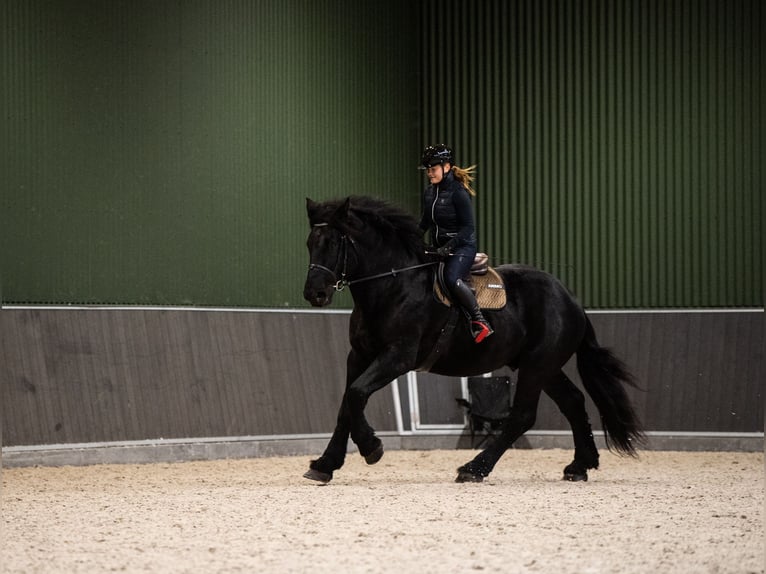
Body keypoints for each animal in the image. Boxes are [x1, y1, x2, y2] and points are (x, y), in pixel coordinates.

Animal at [304, 196, 644, 484]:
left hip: (537, 366)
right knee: (573, 402)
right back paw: (579, 466)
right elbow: (346, 405)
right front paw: (325, 465)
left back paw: (474, 468)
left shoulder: (398, 356)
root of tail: (570, 298)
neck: (394, 284)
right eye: (309, 244)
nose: (314, 294)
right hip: (544, 367)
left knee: (522, 416)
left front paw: (371, 447)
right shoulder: (359, 355)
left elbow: (357, 394)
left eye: (332, 242)